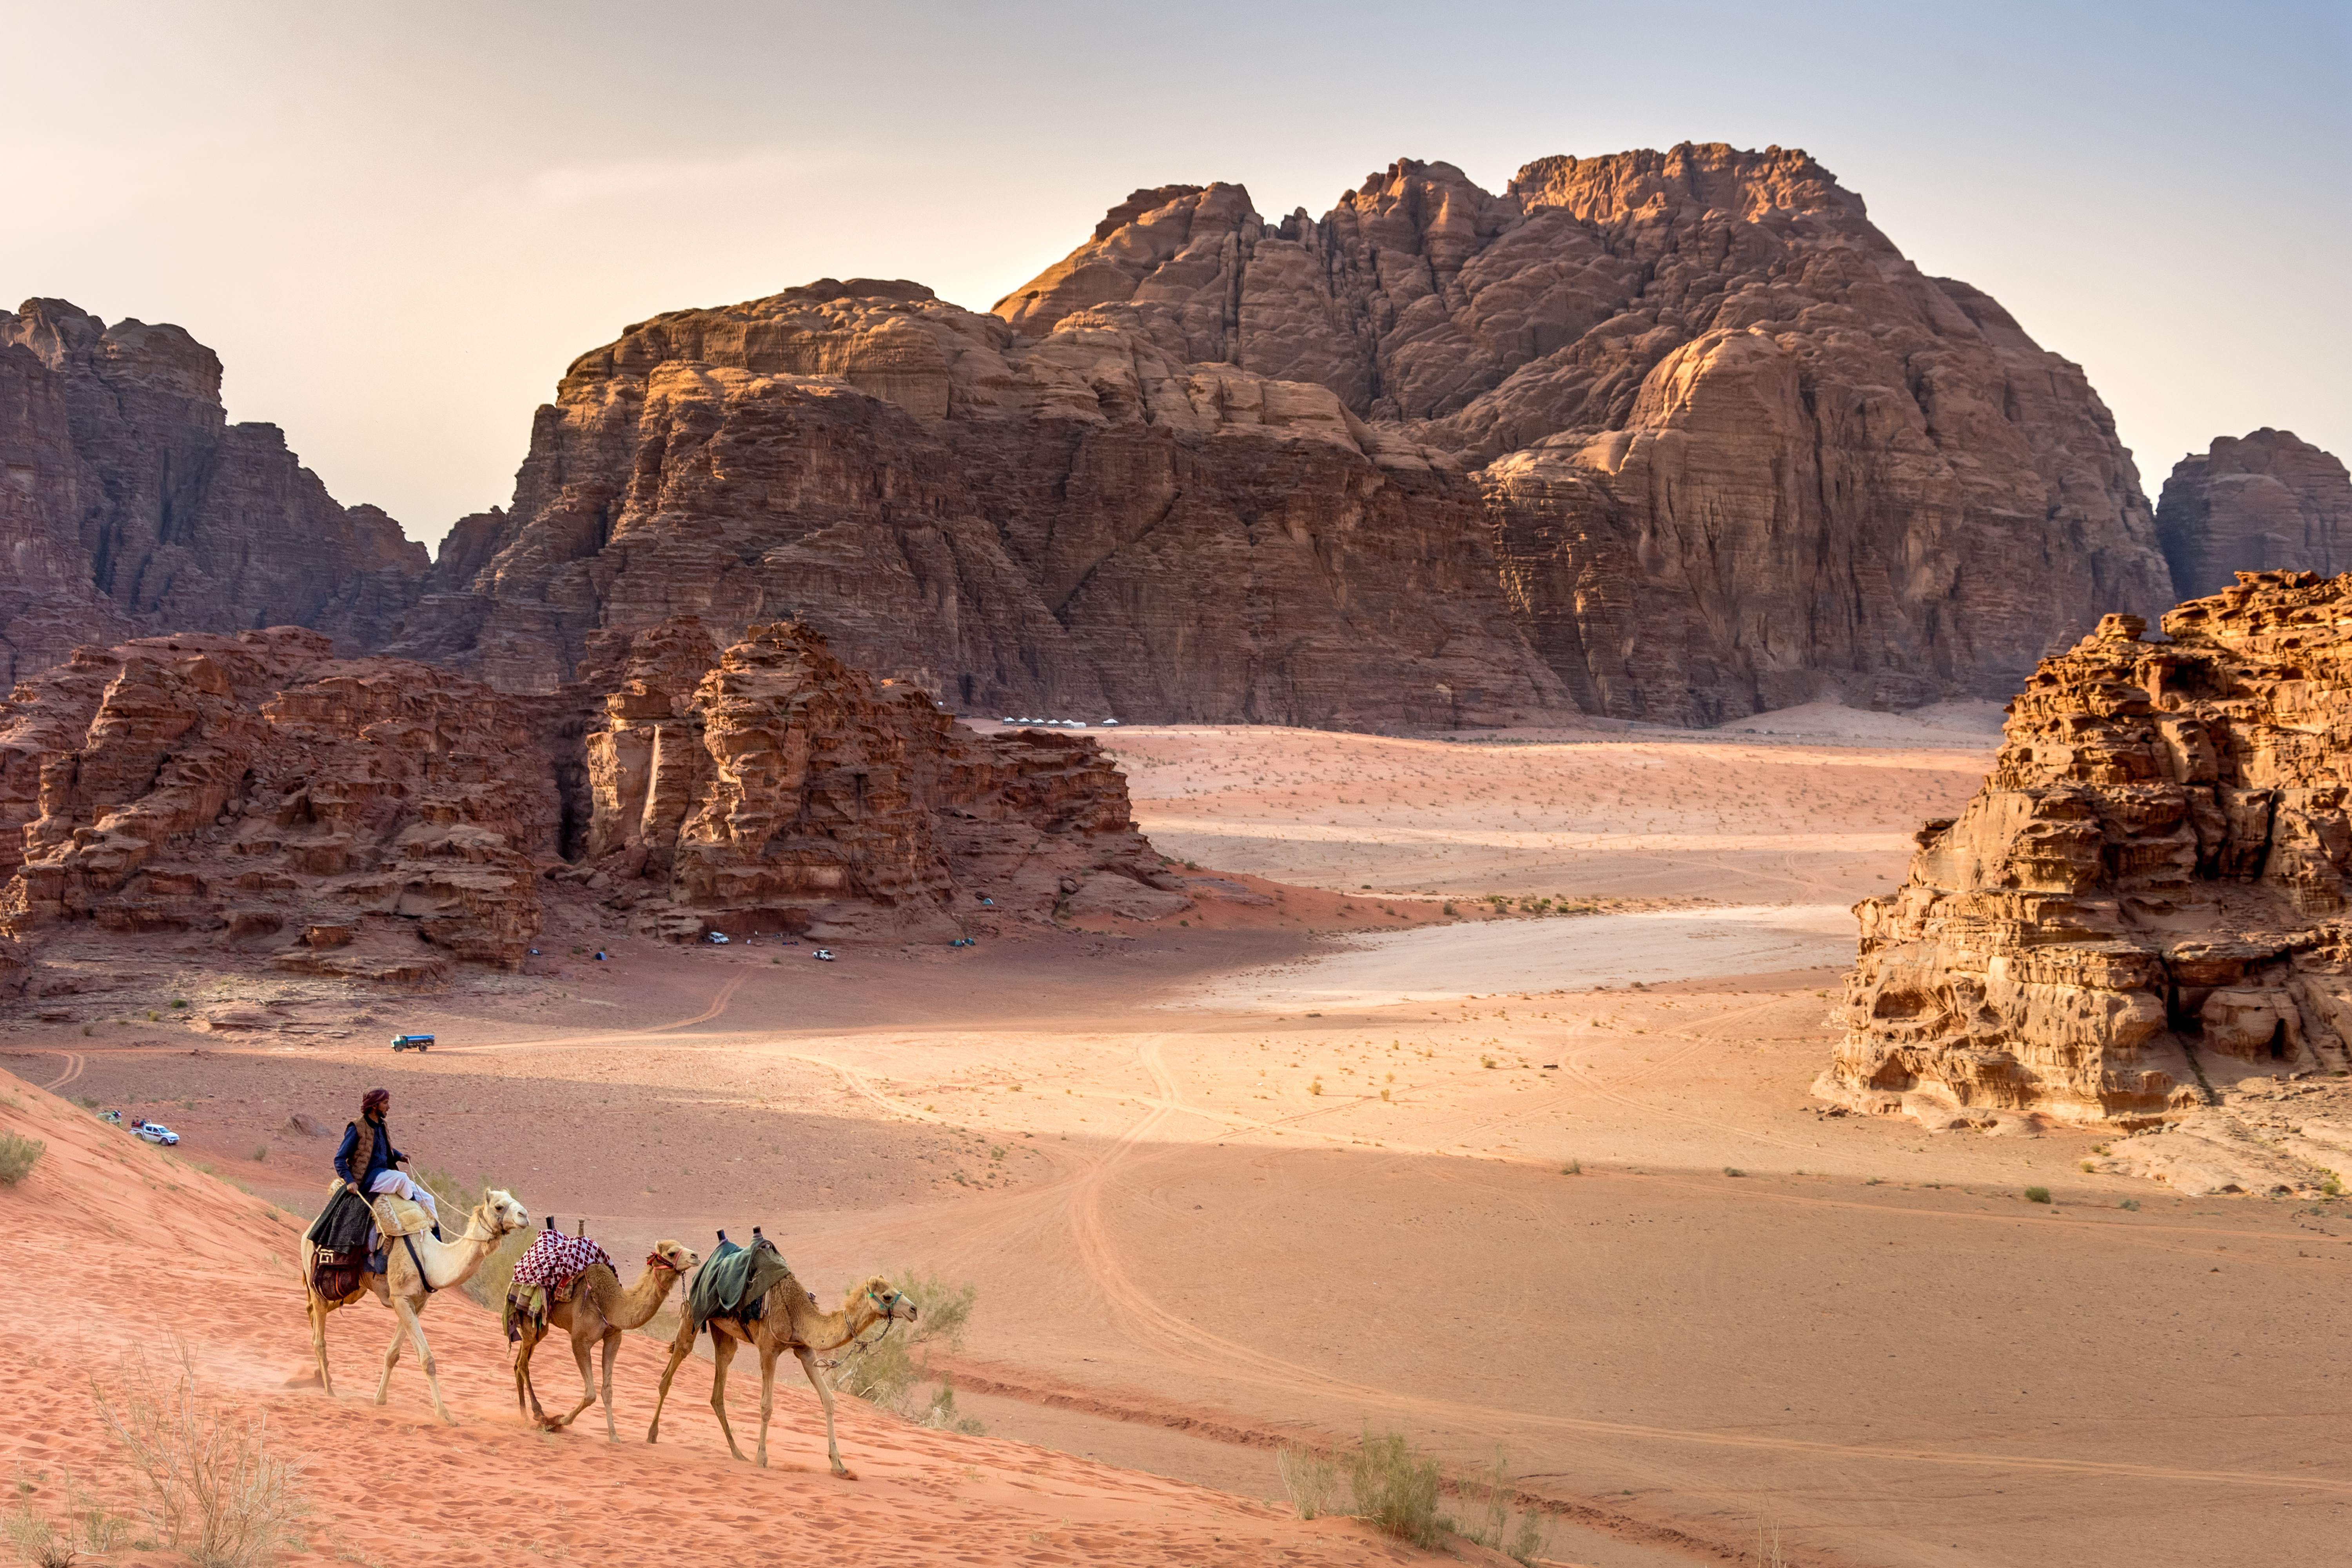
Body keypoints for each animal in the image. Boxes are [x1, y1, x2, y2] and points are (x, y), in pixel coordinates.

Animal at [299, 1189, 529, 1420]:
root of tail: (307, 1232)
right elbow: (428, 1360)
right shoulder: (400, 1298)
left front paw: (380, 1399)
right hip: (319, 1280)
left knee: (313, 1310)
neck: (429, 1259)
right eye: (499, 1206)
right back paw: (329, 1389)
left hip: (355, 1289)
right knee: (319, 1333)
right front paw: (444, 1414)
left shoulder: (416, 1303)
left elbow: (393, 1354)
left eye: (515, 1201)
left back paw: (319, 1375)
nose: (525, 1216)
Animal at [515, 1241, 696, 1439]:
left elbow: (607, 1390)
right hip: (529, 1317)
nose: (695, 1256)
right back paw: (537, 1413)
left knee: (519, 1363)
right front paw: (555, 1422)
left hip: (542, 1326)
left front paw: (614, 1436)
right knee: (523, 1364)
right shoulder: (579, 1340)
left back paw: (524, 1417)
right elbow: (590, 1394)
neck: (611, 1305)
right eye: (671, 1253)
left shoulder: (614, 1337)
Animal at [649, 1269, 913, 1476]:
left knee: (718, 1387)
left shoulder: (805, 1350)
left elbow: (828, 1400)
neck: (797, 1311)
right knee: (671, 1370)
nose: (914, 1309)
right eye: (887, 1296)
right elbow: (767, 1406)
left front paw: (839, 1466)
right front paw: (762, 1459)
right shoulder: (768, 1349)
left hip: (723, 1332)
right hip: (693, 1316)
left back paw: (738, 1453)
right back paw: (652, 1435)